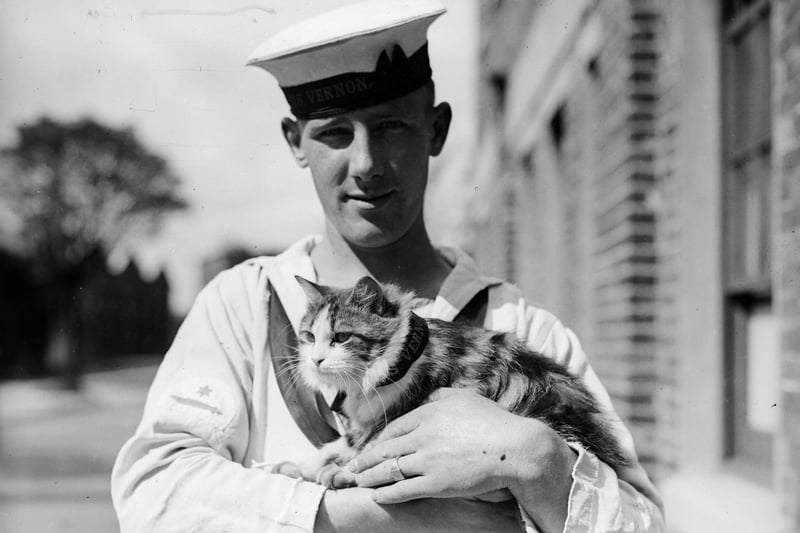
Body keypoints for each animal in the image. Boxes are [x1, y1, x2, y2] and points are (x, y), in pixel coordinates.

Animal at [280, 274, 624, 486]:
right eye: (309, 336)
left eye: (341, 337)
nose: (316, 359)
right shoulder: (364, 424)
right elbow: (335, 446)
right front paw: (300, 468)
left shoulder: (390, 418)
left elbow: (361, 452)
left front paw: (336, 474)